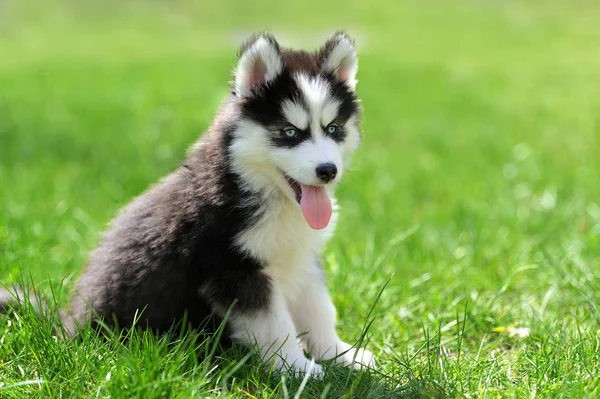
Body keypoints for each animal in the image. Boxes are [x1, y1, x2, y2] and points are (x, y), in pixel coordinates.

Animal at [0, 32, 372, 378]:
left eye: (333, 128)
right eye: (290, 132)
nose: (327, 170)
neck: (264, 194)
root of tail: (65, 326)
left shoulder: (301, 258)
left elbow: (320, 310)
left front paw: (342, 355)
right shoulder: (232, 270)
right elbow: (276, 325)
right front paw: (298, 369)